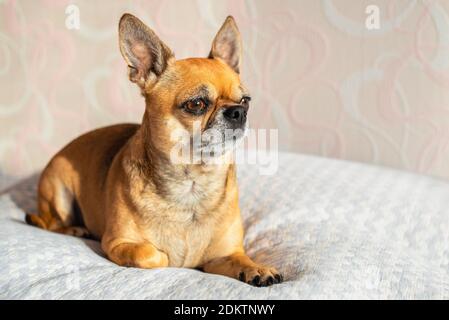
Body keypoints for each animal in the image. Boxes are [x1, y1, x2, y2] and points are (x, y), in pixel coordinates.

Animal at [24, 13, 282, 286]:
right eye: (196, 104)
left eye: (246, 101)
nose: (238, 112)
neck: (192, 184)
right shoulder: (117, 243)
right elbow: (153, 255)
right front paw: (167, 257)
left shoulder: (223, 256)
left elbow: (241, 259)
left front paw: (257, 268)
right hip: (59, 192)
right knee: (51, 223)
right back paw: (74, 229)